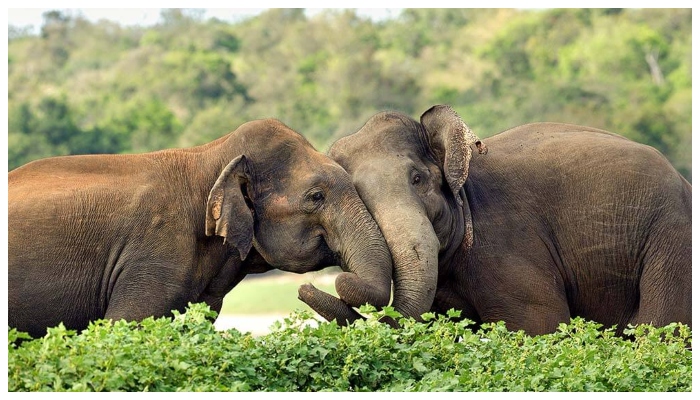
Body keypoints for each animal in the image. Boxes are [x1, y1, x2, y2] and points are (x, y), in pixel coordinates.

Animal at [298, 104, 692, 336]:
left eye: (418, 179)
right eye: (359, 195)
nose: (305, 288)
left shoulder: (509, 246)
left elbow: (539, 326)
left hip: (672, 239)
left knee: (660, 327)